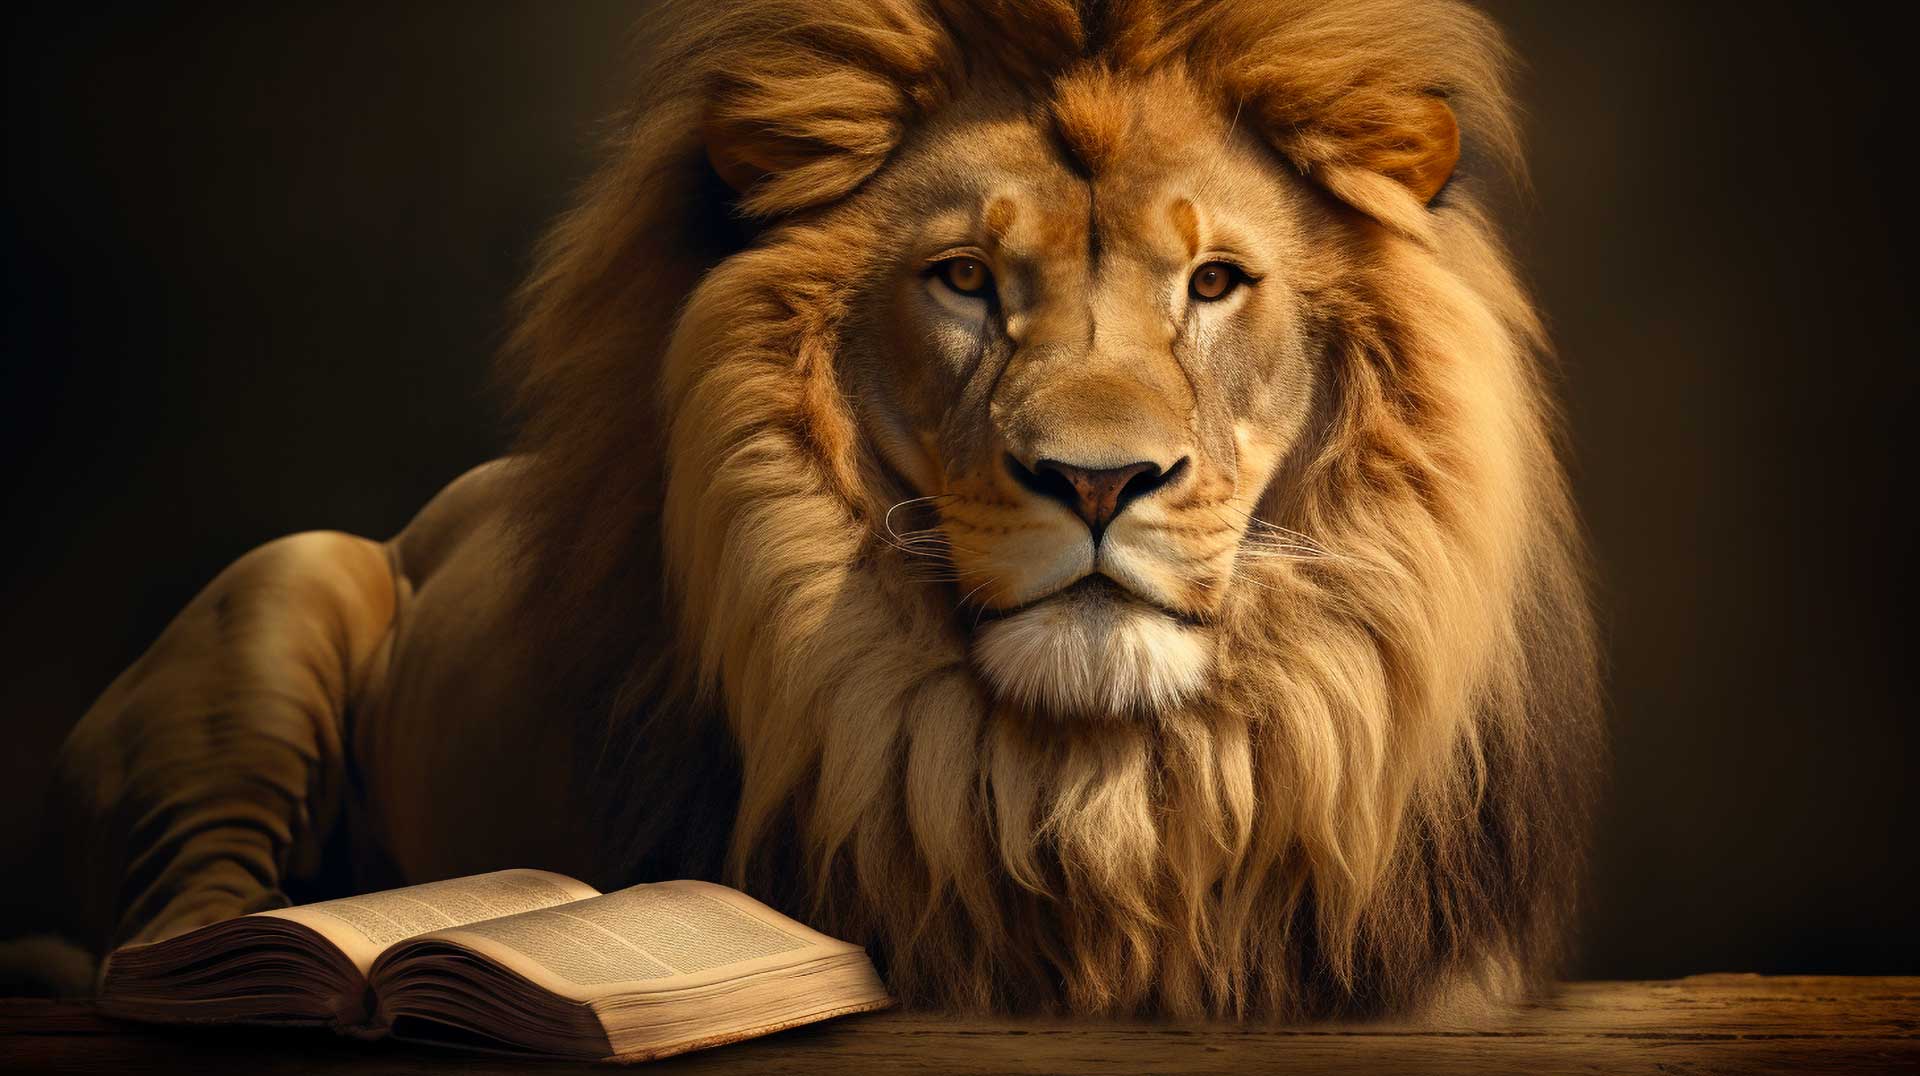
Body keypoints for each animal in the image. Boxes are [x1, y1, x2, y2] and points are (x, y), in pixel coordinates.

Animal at [39, 0, 1601, 1020]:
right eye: (966, 278)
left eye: (1215, 282)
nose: (1099, 482)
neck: (1095, 787)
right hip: (283, 586)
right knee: (162, 932)